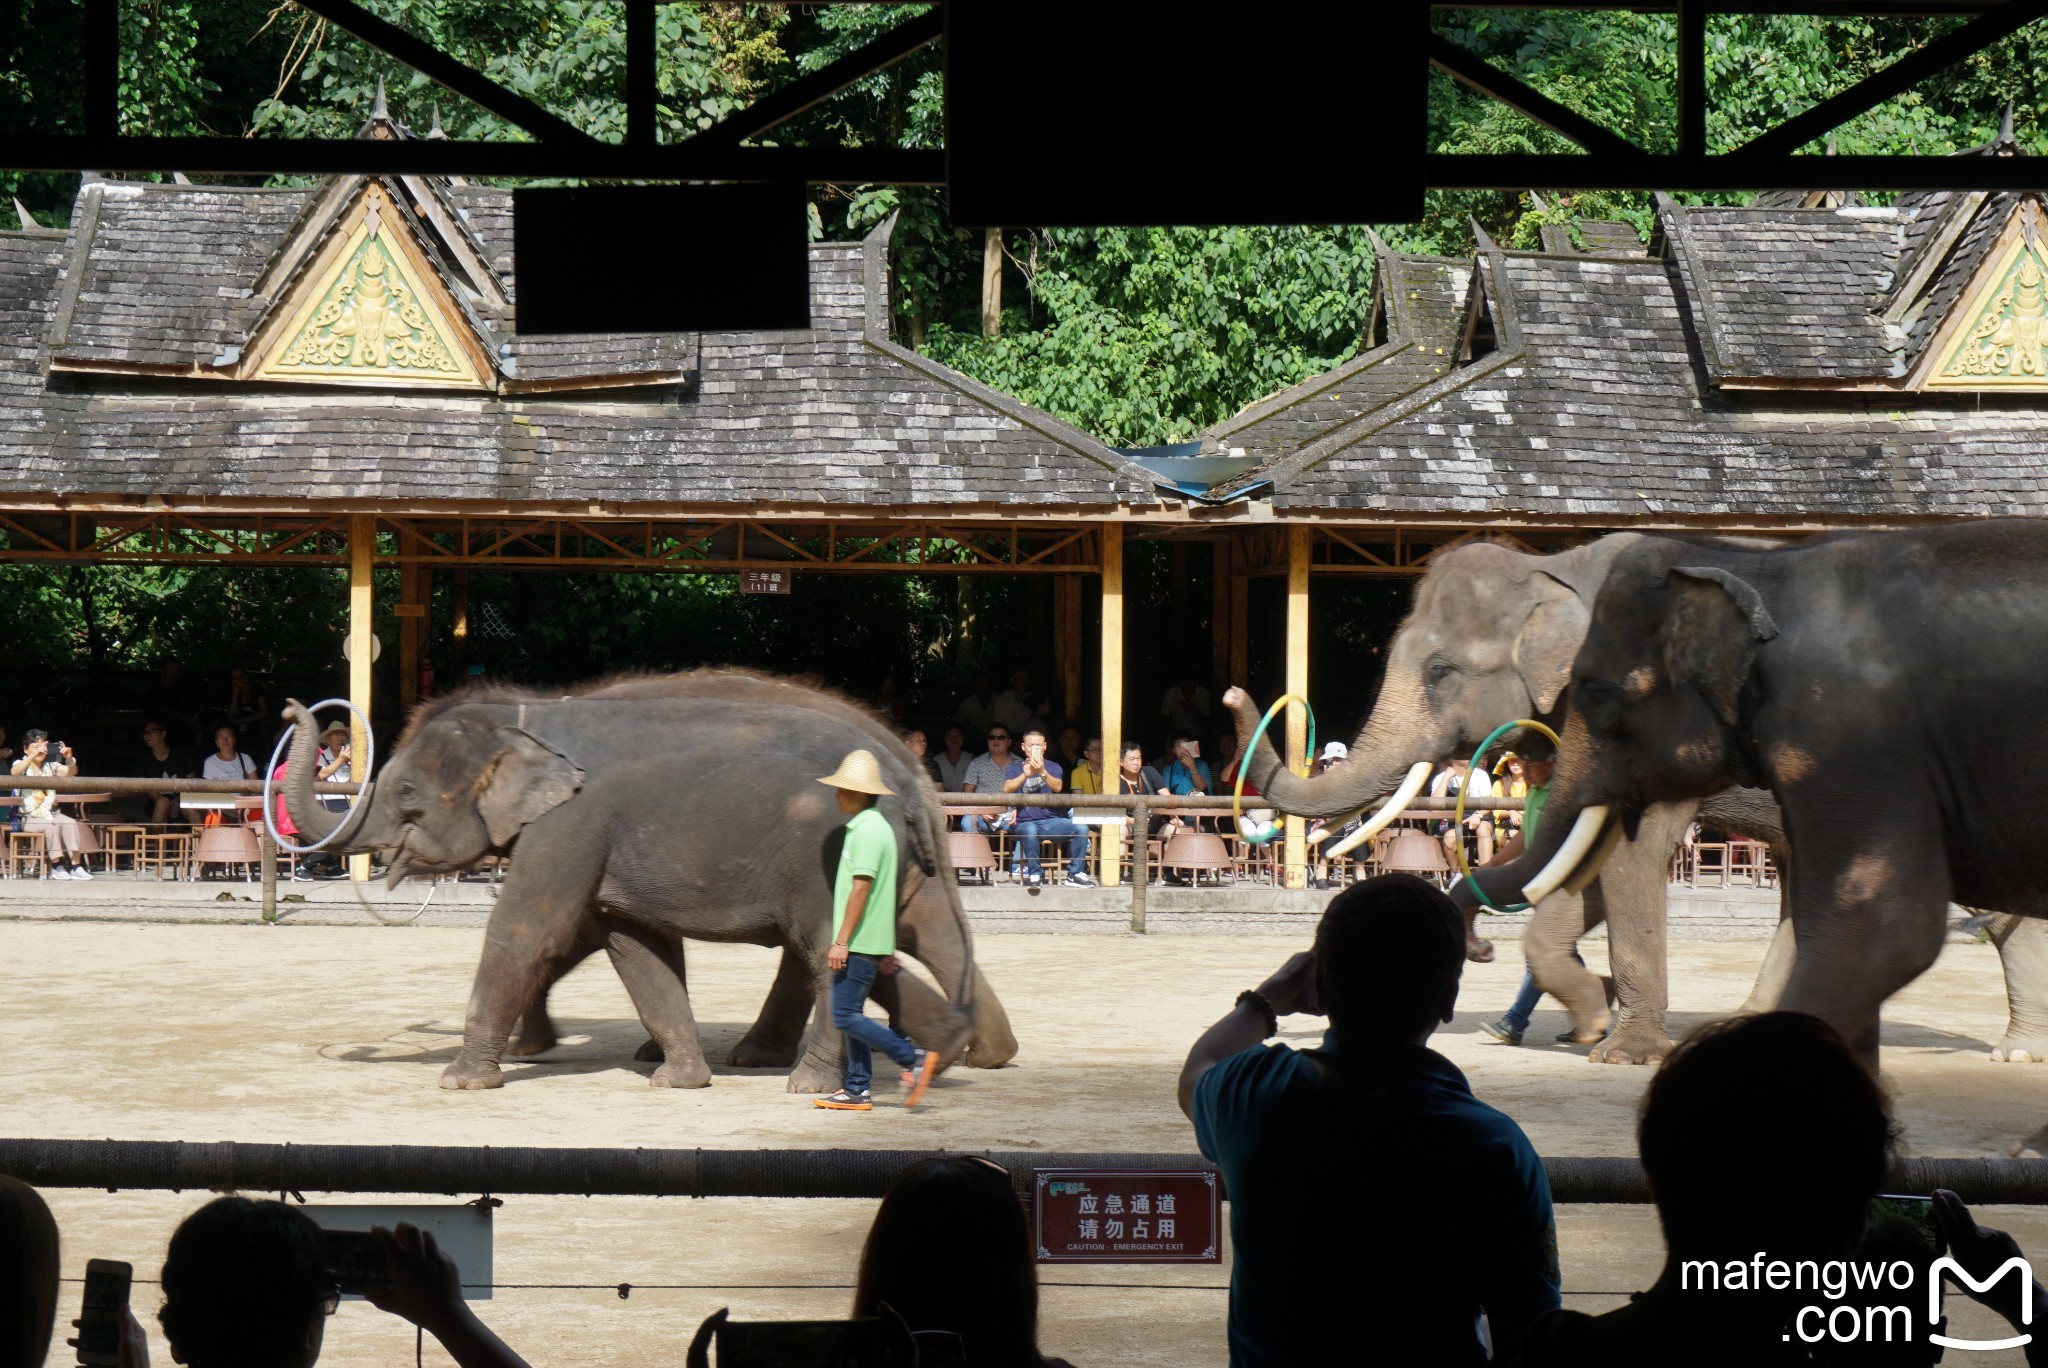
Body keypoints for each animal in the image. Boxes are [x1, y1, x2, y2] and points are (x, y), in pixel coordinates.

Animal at [284, 667, 1019, 1097]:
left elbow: (534, 930)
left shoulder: (573, 821)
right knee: (915, 937)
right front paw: (676, 1079)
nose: (296, 708)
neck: (528, 715)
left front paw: (464, 1081)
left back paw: (810, 1079)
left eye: (407, 793)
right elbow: (635, 946)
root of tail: (906, 773)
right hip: (902, 864)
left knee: (825, 955)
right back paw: (960, 1049)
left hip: (828, 861)